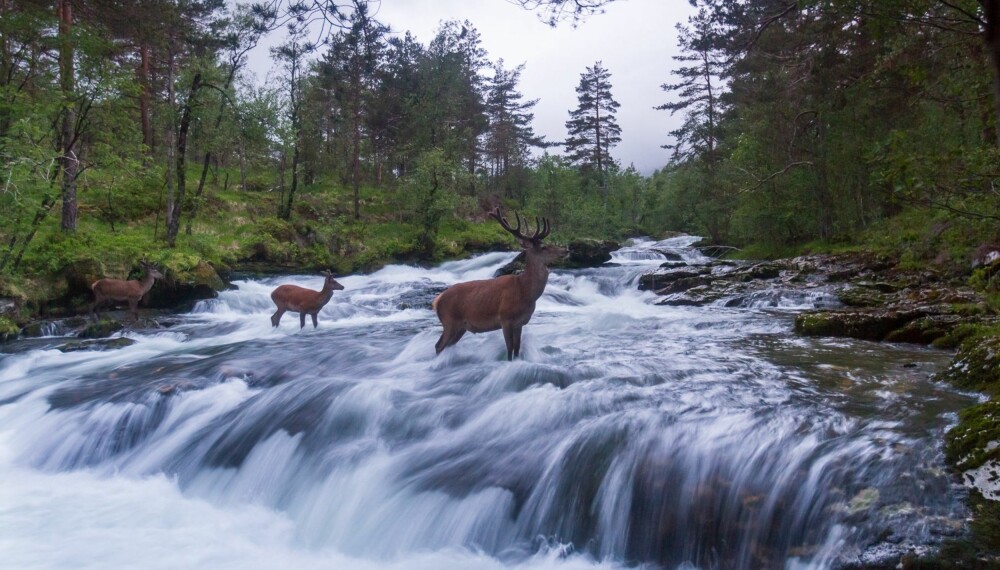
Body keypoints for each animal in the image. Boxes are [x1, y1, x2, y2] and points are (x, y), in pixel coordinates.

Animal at [434, 207, 568, 360]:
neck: (525, 291)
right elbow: (509, 348)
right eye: (544, 247)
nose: (566, 249)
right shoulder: (505, 319)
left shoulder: (519, 323)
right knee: (438, 346)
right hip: (449, 321)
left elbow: (517, 348)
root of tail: (437, 300)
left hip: (461, 327)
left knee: (446, 346)